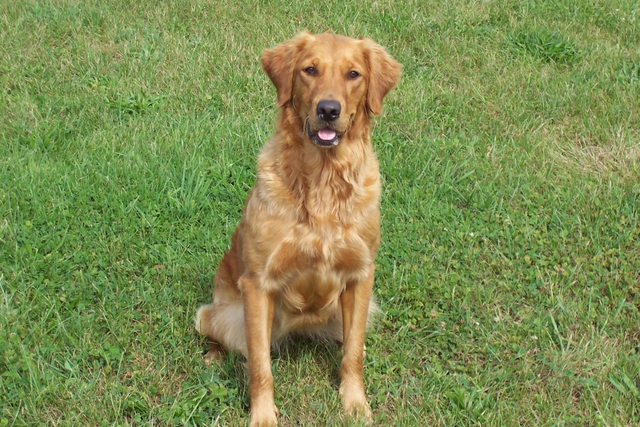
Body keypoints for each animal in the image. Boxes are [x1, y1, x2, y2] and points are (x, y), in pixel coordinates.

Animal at [195, 31, 400, 426]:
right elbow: (260, 366)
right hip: (224, 314)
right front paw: (262, 416)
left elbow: (354, 352)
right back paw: (213, 358)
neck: (322, 180)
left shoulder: (361, 276)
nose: (328, 110)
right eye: (310, 70)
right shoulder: (257, 285)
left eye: (353, 74)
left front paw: (355, 404)